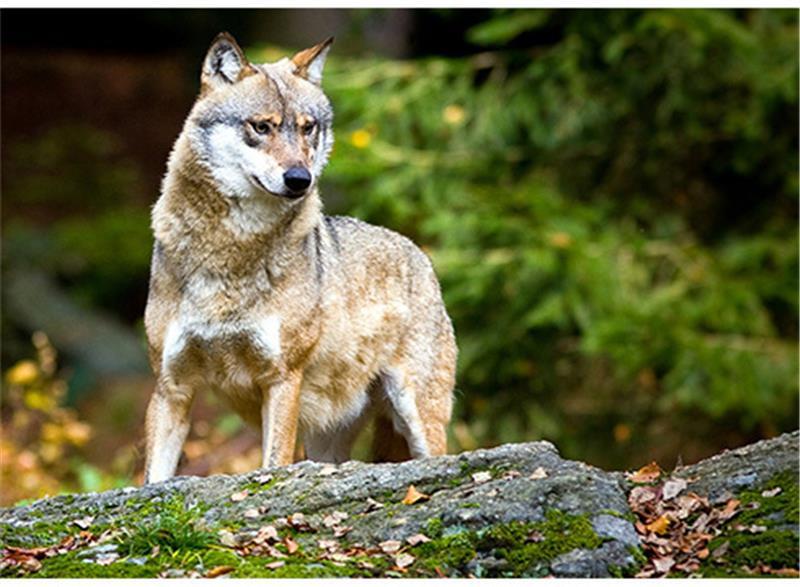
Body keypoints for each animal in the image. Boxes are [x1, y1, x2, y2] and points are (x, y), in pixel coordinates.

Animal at [143, 33, 457, 483]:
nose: (299, 179)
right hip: (326, 441)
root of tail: (419, 253)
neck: (231, 250)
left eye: (309, 128)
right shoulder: (172, 387)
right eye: (262, 126)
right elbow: (152, 478)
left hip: (417, 416)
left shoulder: (282, 378)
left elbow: (273, 463)